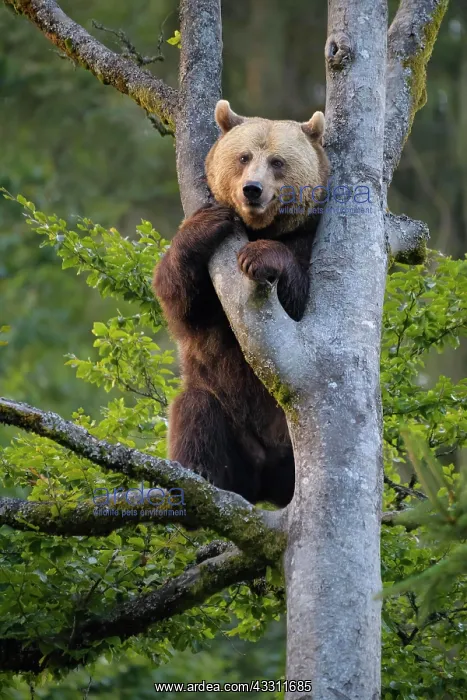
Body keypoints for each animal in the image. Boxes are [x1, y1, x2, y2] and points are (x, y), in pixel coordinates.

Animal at [152, 100, 329, 506]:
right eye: (244, 156)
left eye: (278, 161)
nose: (252, 189)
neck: (258, 227)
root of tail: (264, 482)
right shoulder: (210, 282)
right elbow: (183, 303)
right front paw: (208, 224)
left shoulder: (310, 241)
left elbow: (302, 298)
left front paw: (260, 256)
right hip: (227, 413)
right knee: (196, 412)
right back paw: (200, 474)